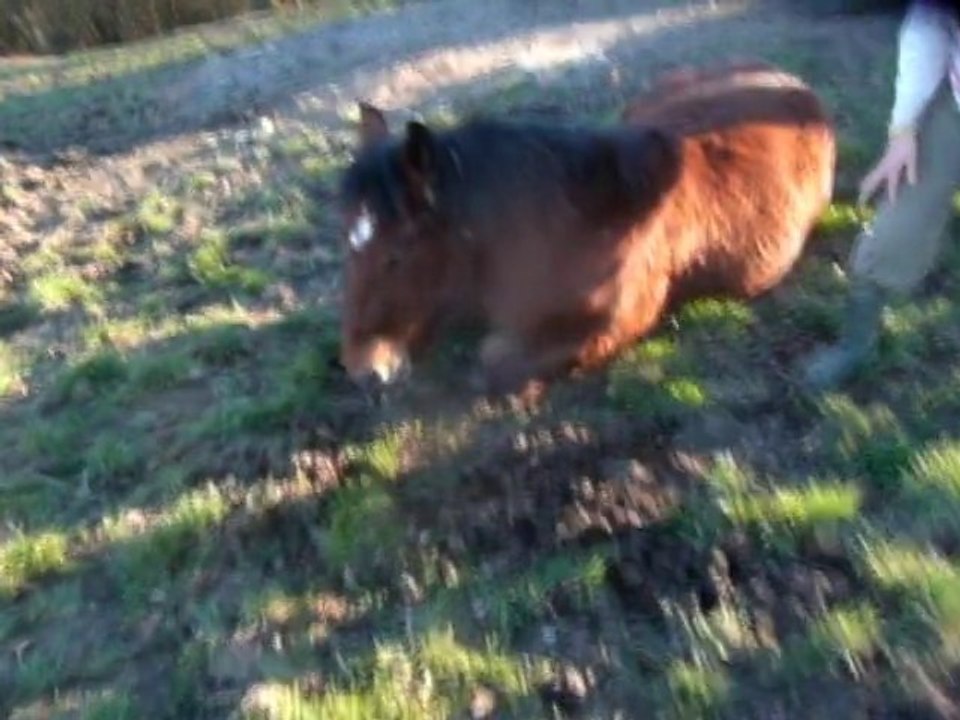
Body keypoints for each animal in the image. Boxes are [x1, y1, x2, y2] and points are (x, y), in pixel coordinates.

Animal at [336, 61, 836, 395]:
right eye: (348, 244)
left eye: (397, 253)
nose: (363, 369)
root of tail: (783, 77)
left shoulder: (612, 327)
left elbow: (494, 360)